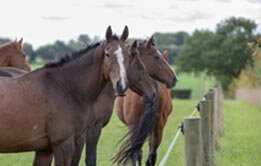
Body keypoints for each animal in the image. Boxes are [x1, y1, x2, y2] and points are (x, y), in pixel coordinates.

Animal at [0, 26, 130, 166]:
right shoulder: (63, 145)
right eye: (107, 54)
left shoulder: (45, 150)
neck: (66, 87)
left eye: (128, 54)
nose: (121, 85)